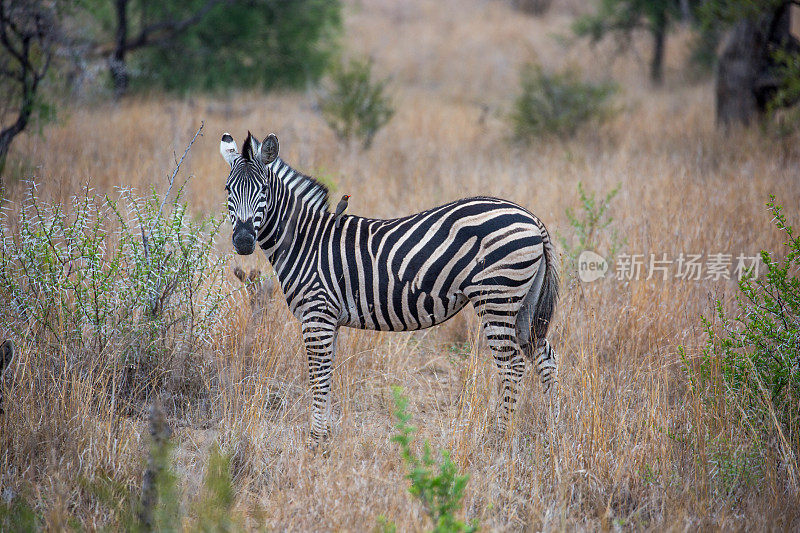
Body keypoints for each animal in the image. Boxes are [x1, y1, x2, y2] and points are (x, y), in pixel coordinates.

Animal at [219, 132, 556, 440]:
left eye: (263, 190)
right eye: (227, 189)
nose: (244, 241)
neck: (305, 240)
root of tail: (531, 217)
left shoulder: (317, 314)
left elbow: (318, 376)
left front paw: (315, 440)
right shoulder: (330, 319)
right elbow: (328, 372)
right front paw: (325, 435)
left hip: (496, 297)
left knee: (512, 365)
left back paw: (501, 437)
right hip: (523, 303)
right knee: (545, 357)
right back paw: (550, 426)